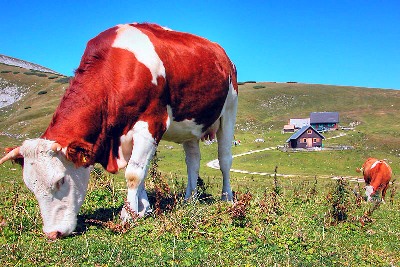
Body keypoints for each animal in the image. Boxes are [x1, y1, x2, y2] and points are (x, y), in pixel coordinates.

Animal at [0, 23, 238, 241]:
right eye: (30, 186)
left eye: (61, 180)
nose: (52, 233)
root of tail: (223, 54)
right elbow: (143, 171)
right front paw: (143, 208)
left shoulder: (150, 124)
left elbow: (134, 173)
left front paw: (128, 214)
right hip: (189, 125)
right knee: (193, 161)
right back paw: (190, 198)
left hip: (229, 111)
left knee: (224, 159)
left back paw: (227, 197)